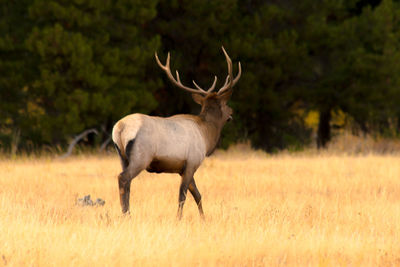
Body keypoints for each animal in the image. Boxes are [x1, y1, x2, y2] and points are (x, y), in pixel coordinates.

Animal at [112, 47, 242, 220]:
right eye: (225, 104)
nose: (231, 113)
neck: (207, 135)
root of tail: (120, 128)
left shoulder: (184, 168)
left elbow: (198, 195)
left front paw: (203, 218)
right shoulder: (192, 161)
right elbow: (183, 194)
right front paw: (178, 218)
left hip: (122, 157)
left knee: (126, 183)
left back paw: (125, 214)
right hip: (141, 156)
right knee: (123, 178)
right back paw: (127, 215)